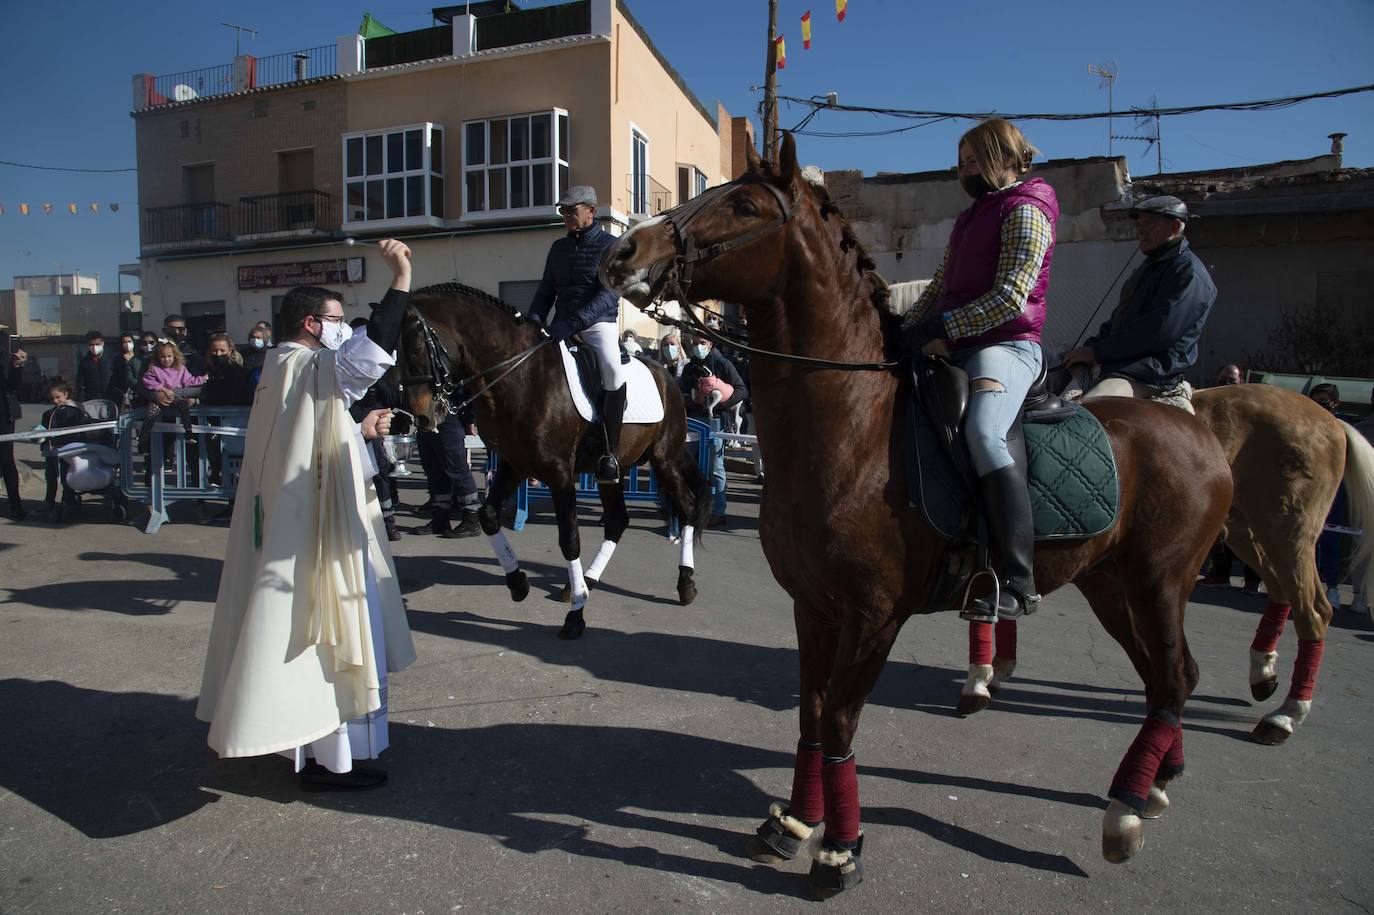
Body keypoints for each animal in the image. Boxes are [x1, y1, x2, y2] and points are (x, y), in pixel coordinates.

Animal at [395, 281, 708, 637]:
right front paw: (518, 583)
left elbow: (569, 539)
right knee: (617, 520)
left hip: (664, 458)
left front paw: (575, 617)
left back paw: (684, 584)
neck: (519, 376)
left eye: (416, 347)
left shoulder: (559, 474)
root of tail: (667, 378)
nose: (420, 416)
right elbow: (488, 516)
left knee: (686, 506)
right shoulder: (514, 465)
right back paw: (584, 583)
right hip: (611, 471)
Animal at [601, 131, 1236, 895]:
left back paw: (1126, 814)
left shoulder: (874, 615)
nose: (625, 251)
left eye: (745, 205)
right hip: (1111, 586)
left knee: (1172, 679)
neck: (855, 429)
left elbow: (841, 723)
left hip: (1159, 583)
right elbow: (812, 715)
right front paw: (796, 822)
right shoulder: (813, 607)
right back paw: (1156, 783)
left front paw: (840, 850)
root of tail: (1200, 430)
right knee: (1172, 680)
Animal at [967, 381, 1374, 747]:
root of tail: (1329, 418)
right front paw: (987, 674)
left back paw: (1286, 715)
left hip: (1285, 534)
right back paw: (1264, 675)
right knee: (1280, 592)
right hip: (1245, 533)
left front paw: (982, 677)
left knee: (1313, 611)